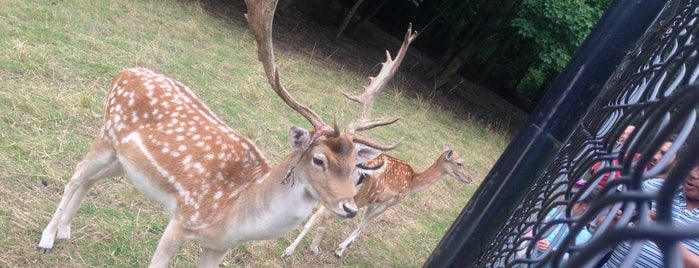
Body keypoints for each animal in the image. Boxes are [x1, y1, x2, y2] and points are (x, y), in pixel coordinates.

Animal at [37, 0, 416, 266]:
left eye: (355, 167)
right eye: (319, 160)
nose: (349, 207)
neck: (234, 213)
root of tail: (124, 72)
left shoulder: (219, 247)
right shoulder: (182, 220)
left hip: (123, 160)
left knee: (91, 179)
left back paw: (65, 231)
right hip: (106, 133)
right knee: (77, 173)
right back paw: (47, 238)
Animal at [282, 148, 474, 256]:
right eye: (459, 163)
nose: (470, 179)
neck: (412, 183)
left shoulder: (374, 201)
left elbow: (363, 222)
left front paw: (342, 246)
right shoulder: (388, 202)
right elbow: (365, 224)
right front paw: (340, 249)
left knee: (317, 215)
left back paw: (289, 250)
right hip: (359, 196)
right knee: (327, 218)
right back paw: (310, 249)